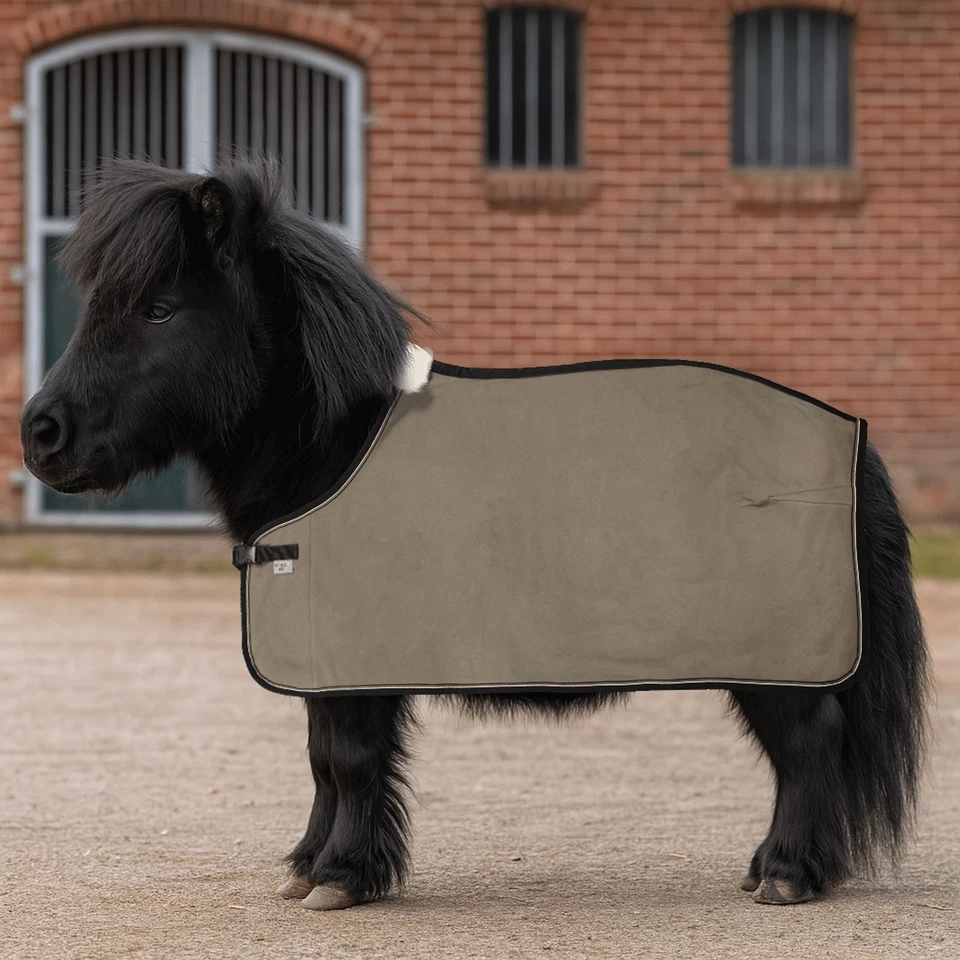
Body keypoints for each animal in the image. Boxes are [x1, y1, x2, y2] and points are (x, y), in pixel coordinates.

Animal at [20, 162, 929, 911]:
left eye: (159, 308)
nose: (42, 435)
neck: (333, 444)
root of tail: (848, 435)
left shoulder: (357, 667)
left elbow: (349, 759)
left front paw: (343, 878)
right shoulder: (324, 658)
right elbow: (320, 760)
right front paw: (308, 867)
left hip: (778, 664)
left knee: (809, 748)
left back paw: (788, 873)